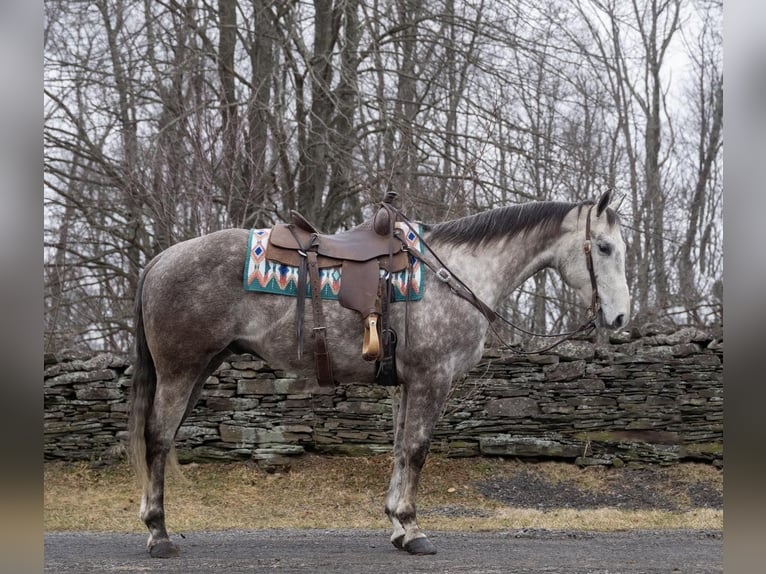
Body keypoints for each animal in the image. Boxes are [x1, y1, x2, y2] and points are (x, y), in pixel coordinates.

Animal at [129, 191, 632, 560]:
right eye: (605, 248)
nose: (621, 317)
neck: (457, 273)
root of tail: (160, 260)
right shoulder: (433, 380)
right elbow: (417, 451)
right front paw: (413, 529)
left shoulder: (406, 385)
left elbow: (399, 450)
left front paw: (396, 525)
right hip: (180, 372)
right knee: (157, 439)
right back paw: (159, 535)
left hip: (200, 369)